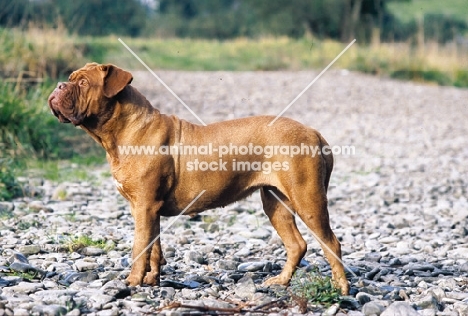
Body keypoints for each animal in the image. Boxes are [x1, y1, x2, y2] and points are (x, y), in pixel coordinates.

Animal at [49, 63, 350, 296]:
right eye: (71, 79)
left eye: (83, 83)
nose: (59, 85)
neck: (121, 132)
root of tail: (313, 132)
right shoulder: (146, 209)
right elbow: (154, 247)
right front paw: (151, 280)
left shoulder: (145, 206)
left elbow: (139, 247)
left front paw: (133, 281)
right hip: (276, 203)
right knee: (297, 245)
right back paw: (281, 281)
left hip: (308, 199)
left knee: (331, 243)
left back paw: (341, 288)